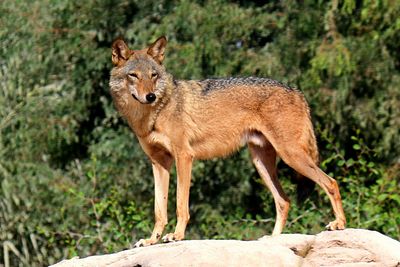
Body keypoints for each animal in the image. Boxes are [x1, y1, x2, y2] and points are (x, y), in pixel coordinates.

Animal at [110, 36, 346, 248]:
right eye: (133, 75)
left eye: (153, 75)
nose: (150, 96)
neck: (154, 114)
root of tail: (297, 92)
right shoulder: (159, 163)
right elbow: (159, 209)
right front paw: (151, 240)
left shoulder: (184, 157)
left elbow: (180, 204)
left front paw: (176, 235)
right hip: (261, 164)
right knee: (284, 201)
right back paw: (272, 240)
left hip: (291, 157)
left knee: (331, 182)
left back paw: (339, 224)